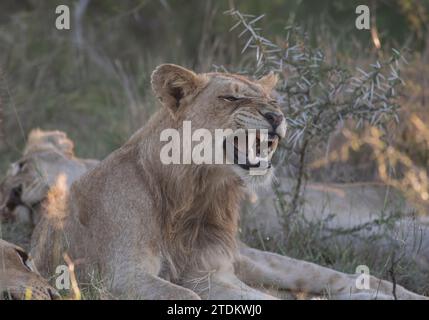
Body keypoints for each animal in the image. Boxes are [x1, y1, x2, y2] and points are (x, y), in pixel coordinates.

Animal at [30, 63, 424, 298]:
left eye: (273, 100)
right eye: (232, 97)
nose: (277, 116)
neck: (197, 190)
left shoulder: (213, 270)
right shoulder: (119, 275)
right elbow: (187, 295)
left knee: (343, 278)